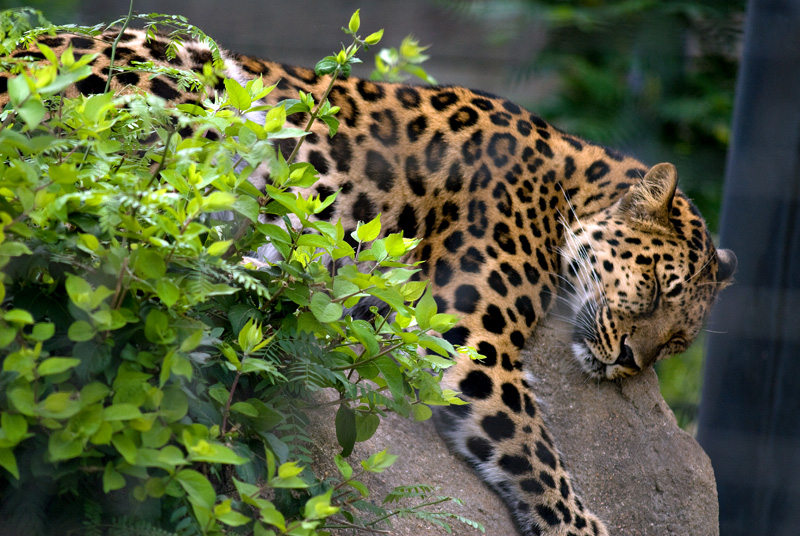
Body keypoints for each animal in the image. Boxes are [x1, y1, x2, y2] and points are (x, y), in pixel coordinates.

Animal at [1, 28, 736, 536]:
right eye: (659, 285)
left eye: (678, 342)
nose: (634, 360)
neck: (565, 179)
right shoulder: (471, 342)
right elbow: (537, 456)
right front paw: (580, 526)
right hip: (193, 77)